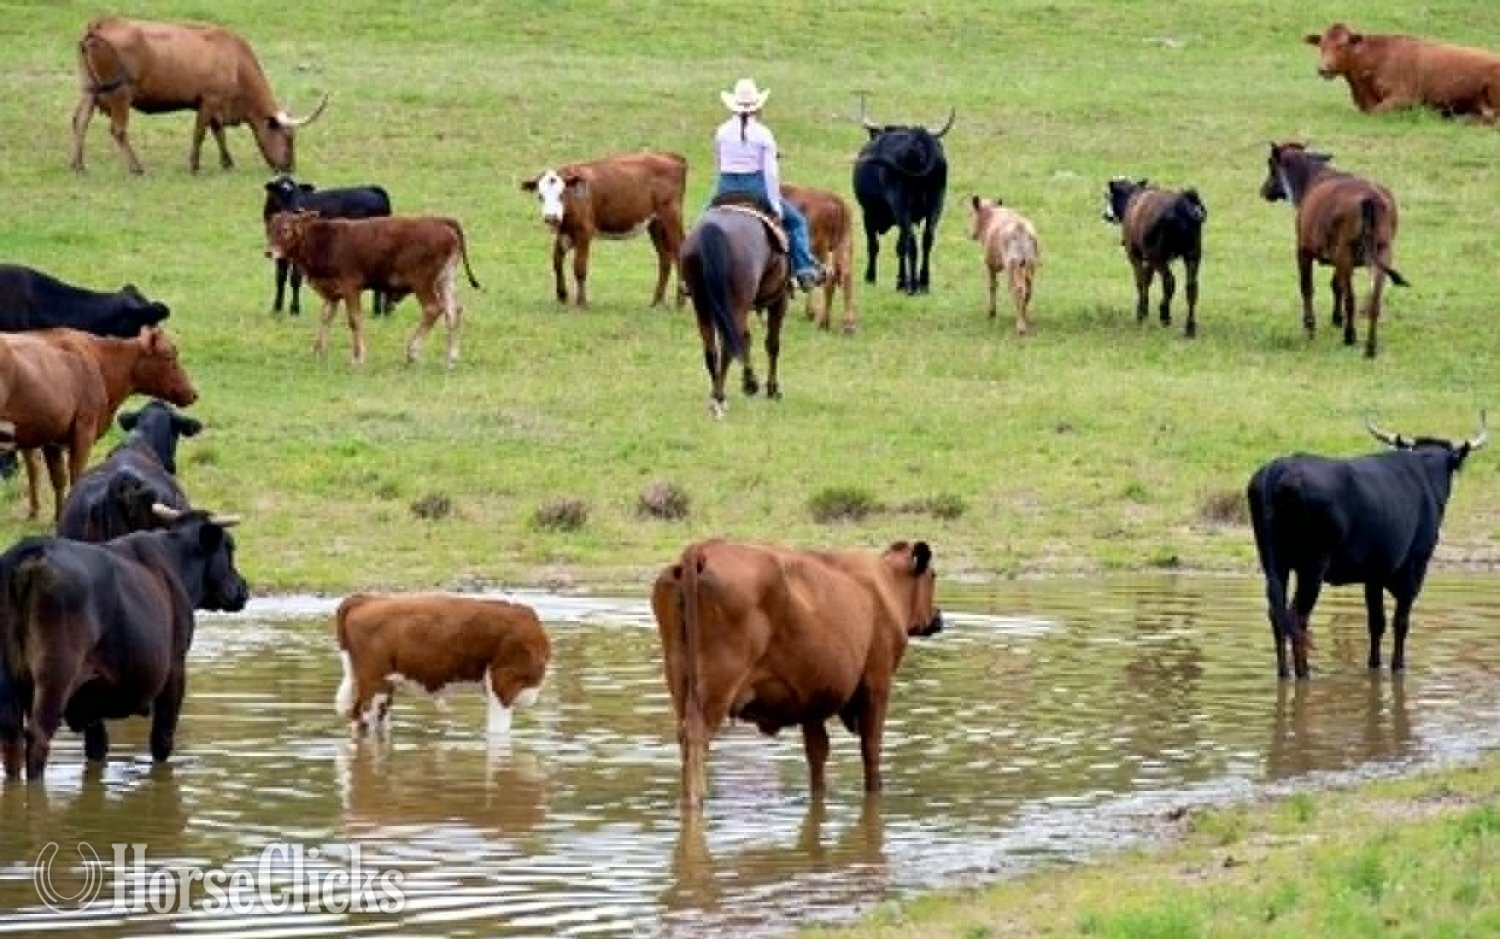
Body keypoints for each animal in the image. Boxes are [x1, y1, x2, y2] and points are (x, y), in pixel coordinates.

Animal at [679, 200, 790, 419]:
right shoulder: (779, 301)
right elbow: (772, 344)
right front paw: (772, 388)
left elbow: (745, 340)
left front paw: (750, 383)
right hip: (736, 305)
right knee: (728, 347)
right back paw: (720, 399)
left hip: (703, 306)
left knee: (712, 350)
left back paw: (716, 395)